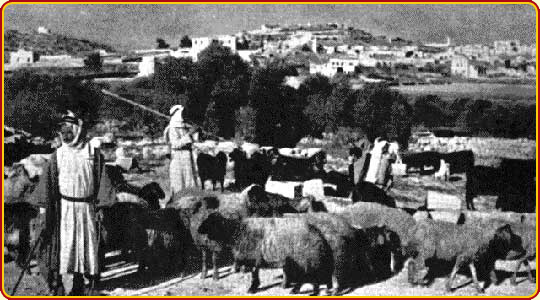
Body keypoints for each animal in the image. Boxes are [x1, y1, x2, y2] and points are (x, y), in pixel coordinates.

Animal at [198, 213, 334, 296]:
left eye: (210, 222)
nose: (198, 230)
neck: (235, 231)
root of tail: (318, 234)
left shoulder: (253, 257)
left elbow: (254, 274)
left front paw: (252, 288)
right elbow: (255, 273)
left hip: (304, 257)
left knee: (306, 276)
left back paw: (296, 290)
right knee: (313, 275)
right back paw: (313, 291)